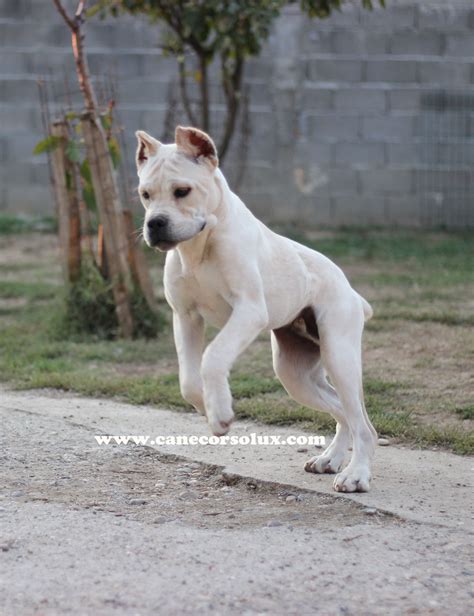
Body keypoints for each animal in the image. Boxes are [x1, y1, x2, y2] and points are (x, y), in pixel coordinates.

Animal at [136, 125, 378, 490]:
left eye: (182, 191)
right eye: (145, 194)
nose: (155, 223)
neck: (200, 245)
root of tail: (351, 291)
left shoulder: (249, 311)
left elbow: (213, 356)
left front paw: (221, 412)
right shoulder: (185, 317)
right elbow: (188, 380)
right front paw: (209, 409)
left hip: (340, 356)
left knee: (360, 421)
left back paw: (356, 474)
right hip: (295, 374)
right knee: (344, 412)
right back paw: (331, 459)